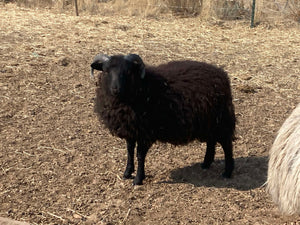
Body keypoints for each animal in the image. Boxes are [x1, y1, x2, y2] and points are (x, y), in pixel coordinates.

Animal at [90, 53, 236, 185]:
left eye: (128, 71)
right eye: (106, 70)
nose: (116, 89)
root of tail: (222, 74)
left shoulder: (145, 131)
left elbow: (140, 155)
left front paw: (138, 179)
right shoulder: (130, 128)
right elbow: (130, 151)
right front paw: (127, 173)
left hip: (222, 120)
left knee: (226, 145)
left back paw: (227, 172)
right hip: (209, 121)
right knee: (211, 141)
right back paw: (205, 164)